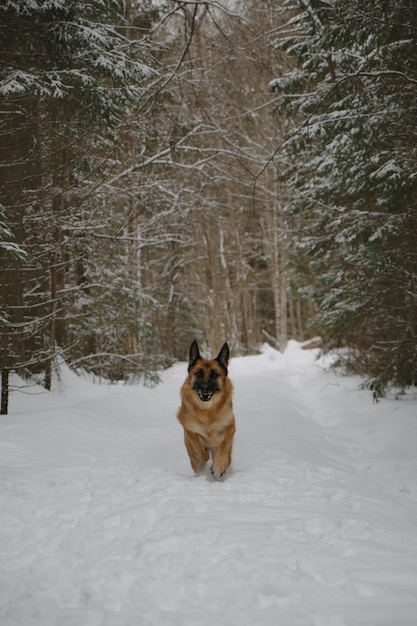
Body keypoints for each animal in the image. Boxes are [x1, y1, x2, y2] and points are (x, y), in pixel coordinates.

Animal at [175, 342, 234, 478]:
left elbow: (224, 444)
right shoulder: (189, 430)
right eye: (198, 374)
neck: (207, 411)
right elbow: (200, 450)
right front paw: (205, 455)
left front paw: (219, 466)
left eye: (214, 375)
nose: (205, 388)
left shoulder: (231, 427)